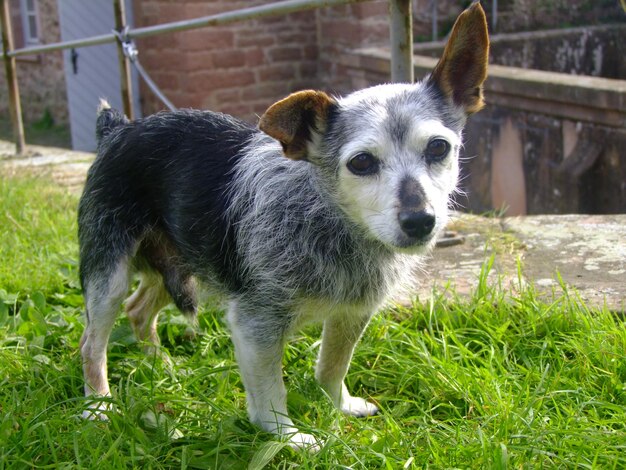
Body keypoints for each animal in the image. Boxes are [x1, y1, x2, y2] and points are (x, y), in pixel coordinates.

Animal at [78, 2, 488, 452]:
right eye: (361, 162)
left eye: (439, 147)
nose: (420, 221)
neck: (330, 222)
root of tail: (117, 128)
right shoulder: (256, 326)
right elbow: (269, 397)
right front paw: (288, 438)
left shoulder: (352, 313)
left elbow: (331, 367)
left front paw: (338, 406)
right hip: (109, 274)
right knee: (91, 343)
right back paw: (98, 405)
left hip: (180, 261)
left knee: (137, 310)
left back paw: (161, 366)